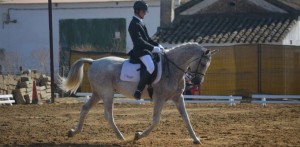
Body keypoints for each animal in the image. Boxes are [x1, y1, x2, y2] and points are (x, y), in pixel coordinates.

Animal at [59, 42, 217, 144]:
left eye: (208, 65)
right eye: (203, 64)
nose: (197, 81)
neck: (172, 69)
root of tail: (94, 61)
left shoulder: (178, 97)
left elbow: (186, 118)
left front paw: (196, 139)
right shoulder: (159, 98)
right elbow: (156, 120)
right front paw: (138, 136)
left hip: (98, 93)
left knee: (85, 108)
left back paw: (73, 132)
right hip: (107, 93)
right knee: (108, 115)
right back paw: (121, 137)